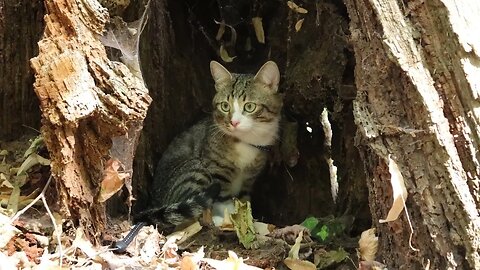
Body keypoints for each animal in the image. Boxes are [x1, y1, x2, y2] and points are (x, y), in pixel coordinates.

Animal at [133, 60, 284, 228]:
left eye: (249, 106)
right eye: (225, 106)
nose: (234, 122)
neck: (245, 141)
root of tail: (154, 203)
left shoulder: (249, 179)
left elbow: (243, 202)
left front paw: (246, 221)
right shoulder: (217, 169)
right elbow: (223, 201)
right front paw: (228, 222)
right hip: (194, 170)